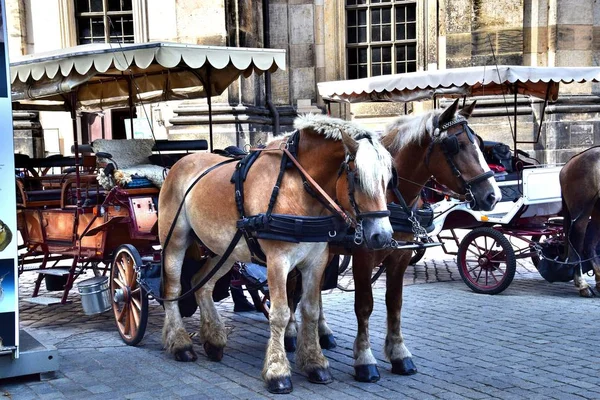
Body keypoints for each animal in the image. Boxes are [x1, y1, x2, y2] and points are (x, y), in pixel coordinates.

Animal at [158, 113, 394, 394]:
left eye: (389, 180)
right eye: (357, 178)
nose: (383, 236)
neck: (297, 187)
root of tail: (181, 162)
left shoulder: (317, 260)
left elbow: (310, 310)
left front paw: (315, 363)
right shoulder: (278, 262)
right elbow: (280, 314)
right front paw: (277, 371)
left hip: (225, 250)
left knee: (201, 284)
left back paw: (213, 339)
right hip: (175, 240)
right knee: (172, 289)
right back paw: (180, 343)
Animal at [286, 98, 502, 382]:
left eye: (478, 141)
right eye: (455, 145)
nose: (493, 196)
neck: (390, 195)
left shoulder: (400, 255)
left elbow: (394, 303)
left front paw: (399, 353)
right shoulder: (364, 256)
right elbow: (364, 305)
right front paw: (365, 359)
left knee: (317, 287)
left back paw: (323, 333)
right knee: (292, 287)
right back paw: (291, 333)